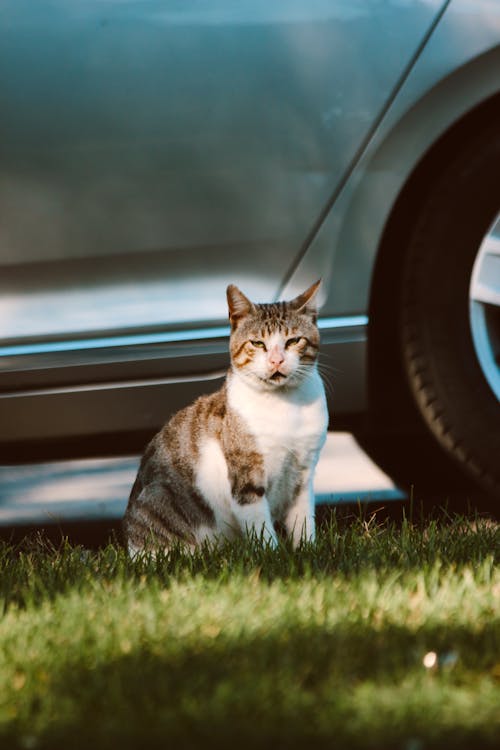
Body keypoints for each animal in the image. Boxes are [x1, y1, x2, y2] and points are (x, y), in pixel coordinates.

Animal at [123, 280, 330, 556]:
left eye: (294, 340)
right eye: (258, 344)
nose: (276, 360)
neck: (285, 406)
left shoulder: (303, 473)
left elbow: (303, 520)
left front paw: (307, 550)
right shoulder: (245, 477)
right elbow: (260, 525)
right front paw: (272, 556)